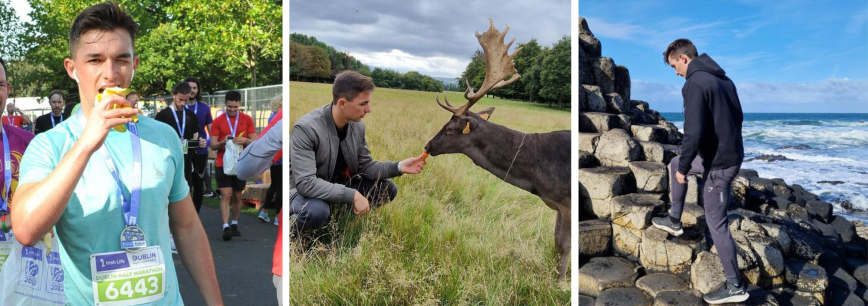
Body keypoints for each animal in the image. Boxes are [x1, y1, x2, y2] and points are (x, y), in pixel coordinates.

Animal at [424, 19, 572, 280]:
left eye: (450, 129)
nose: (428, 145)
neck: (538, 174)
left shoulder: (568, 202)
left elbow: (564, 245)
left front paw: (560, 282)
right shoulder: (557, 205)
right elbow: (555, 243)